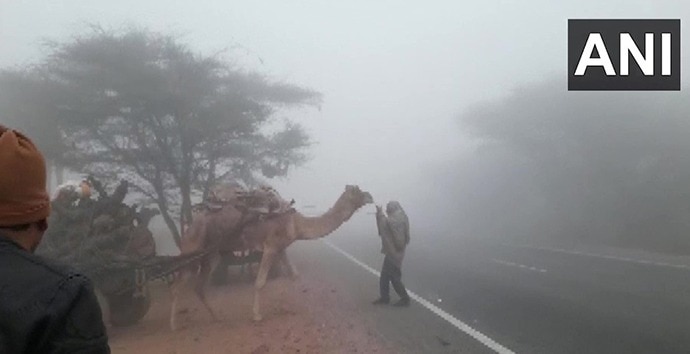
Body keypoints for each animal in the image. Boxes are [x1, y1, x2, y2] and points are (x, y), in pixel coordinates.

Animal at [169, 184, 370, 330]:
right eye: (357, 191)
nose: (370, 196)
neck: (296, 223)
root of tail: (191, 224)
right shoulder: (271, 247)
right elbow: (260, 282)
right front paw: (257, 316)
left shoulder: (281, 248)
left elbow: (294, 276)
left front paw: (290, 307)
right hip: (193, 246)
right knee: (178, 283)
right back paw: (174, 325)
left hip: (212, 254)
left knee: (199, 285)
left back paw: (216, 317)